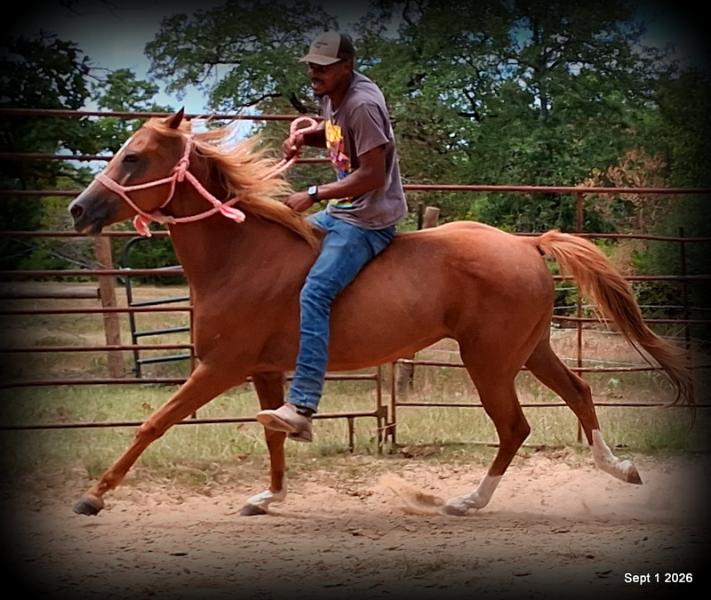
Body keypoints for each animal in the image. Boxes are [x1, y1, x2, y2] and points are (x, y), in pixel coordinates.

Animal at [68, 109, 691, 517]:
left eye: (134, 157)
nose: (78, 209)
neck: (242, 254)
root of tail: (527, 243)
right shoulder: (263, 369)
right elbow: (271, 435)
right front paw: (269, 496)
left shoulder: (221, 366)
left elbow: (154, 423)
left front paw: (93, 496)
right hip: (530, 350)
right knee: (579, 392)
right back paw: (620, 468)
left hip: (490, 362)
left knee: (516, 426)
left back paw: (468, 501)